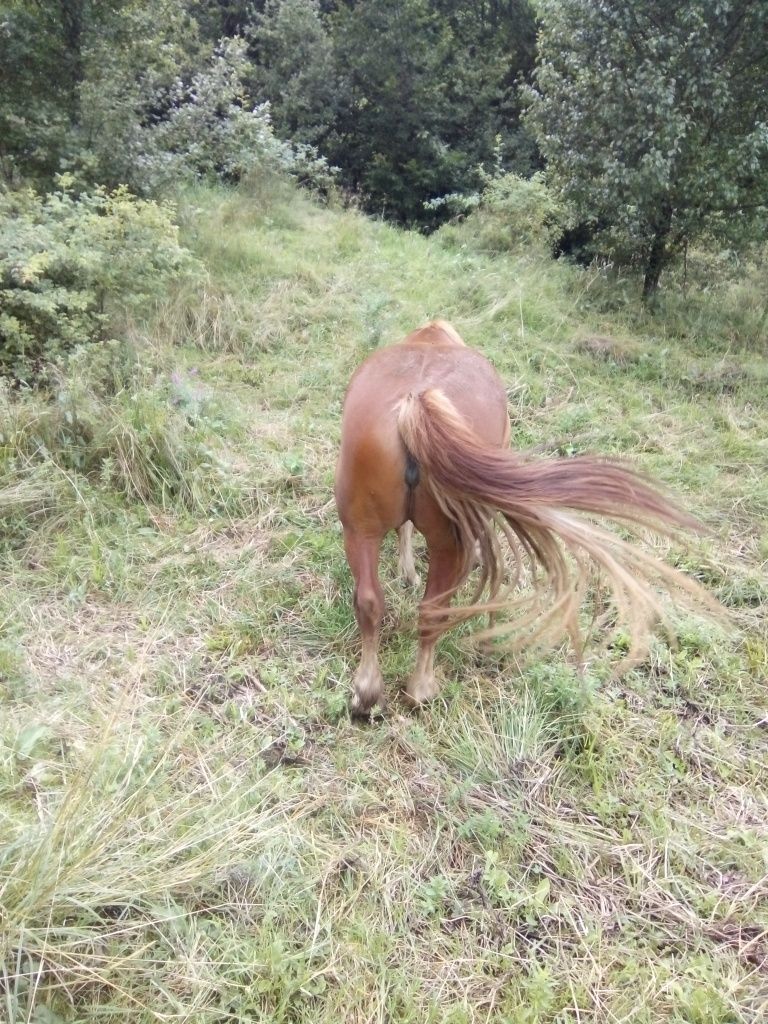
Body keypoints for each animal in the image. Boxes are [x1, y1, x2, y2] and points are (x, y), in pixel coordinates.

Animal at [335, 319, 716, 712]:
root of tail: (414, 401)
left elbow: (404, 533)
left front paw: (406, 571)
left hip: (360, 530)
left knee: (369, 602)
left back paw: (366, 692)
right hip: (448, 543)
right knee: (432, 612)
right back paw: (421, 690)